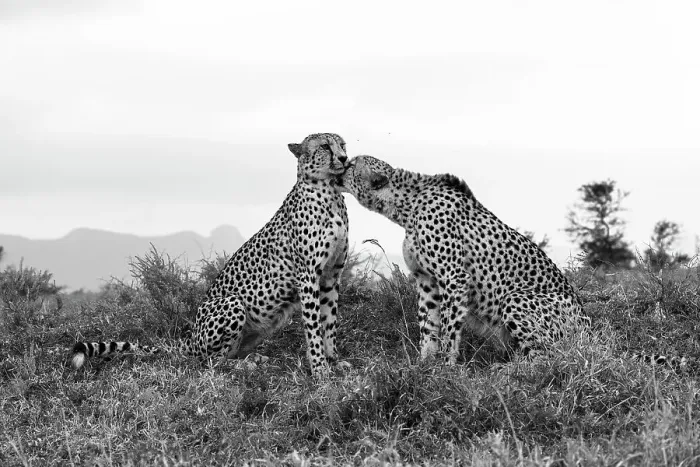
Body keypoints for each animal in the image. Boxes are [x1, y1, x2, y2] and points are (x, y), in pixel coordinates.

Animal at [71, 133, 351, 377]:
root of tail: (191, 337)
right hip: (232, 303)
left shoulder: (331, 275)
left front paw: (333, 359)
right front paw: (320, 369)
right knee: (211, 361)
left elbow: (329, 321)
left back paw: (254, 358)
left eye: (343, 144)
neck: (329, 191)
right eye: (325, 146)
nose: (345, 158)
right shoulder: (308, 275)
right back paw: (244, 365)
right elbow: (314, 326)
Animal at [338, 155, 688, 369]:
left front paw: (445, 367)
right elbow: (428, 325)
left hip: (518, 299)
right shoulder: (426, 280)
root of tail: (590, 333)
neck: (408, 204)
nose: (340, 164)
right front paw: (424, 363)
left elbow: (449, 327)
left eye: (353, 164)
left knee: (548, 360)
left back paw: (508, 371)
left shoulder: (454, 278)